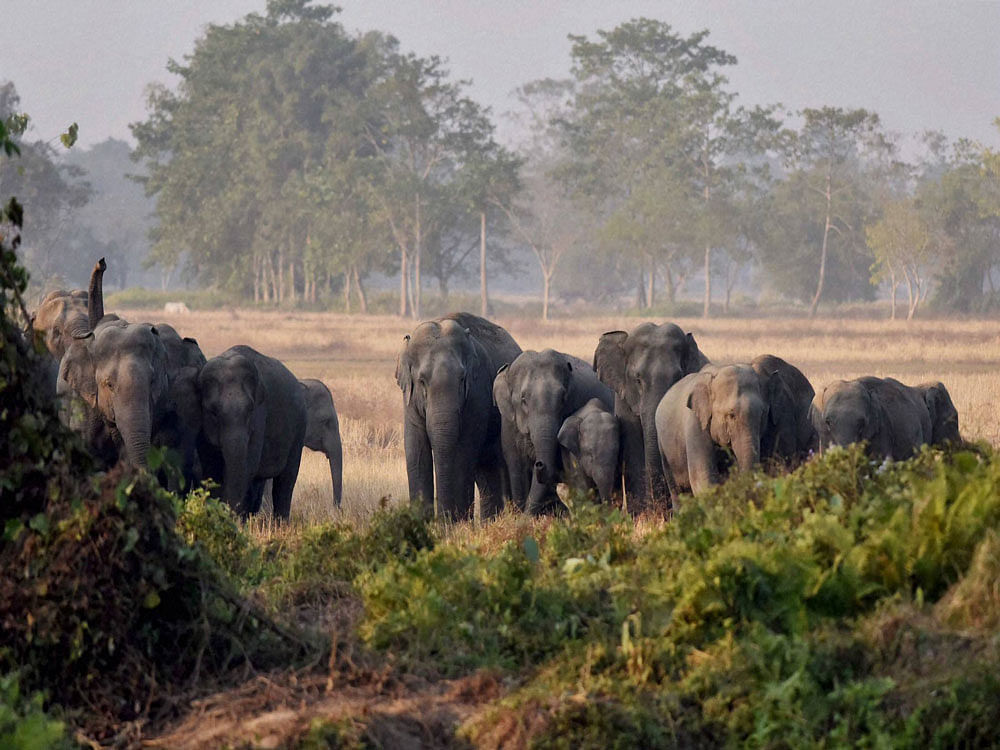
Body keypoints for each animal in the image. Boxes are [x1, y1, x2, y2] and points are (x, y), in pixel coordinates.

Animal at [195, 346, 304, 516]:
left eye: (250, 411)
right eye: (213, 413)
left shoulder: (260, 417)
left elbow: (248, 467)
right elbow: (211, 468)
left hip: (299, 426)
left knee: (286, 481)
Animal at [396, 314, 528, 520]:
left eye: (462, 379)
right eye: (422, 381)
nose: (441, 519)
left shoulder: (477, 393)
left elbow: (464, 451)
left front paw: (454, 524)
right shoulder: (408, 400)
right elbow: (416, 450)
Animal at [656, 364, 772, 500]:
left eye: (762, 414)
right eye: (731, 415)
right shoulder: (695, 423)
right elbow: (702, 478)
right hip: (664, 448)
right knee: (678, 491)